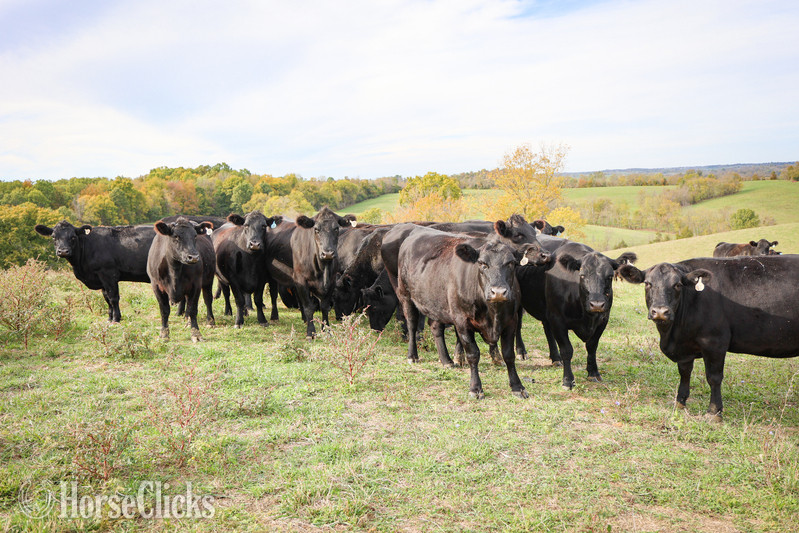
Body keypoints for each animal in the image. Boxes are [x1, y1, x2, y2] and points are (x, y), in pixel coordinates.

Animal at [264, 206, 356, 338]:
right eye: (316, 229)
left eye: (336, 228)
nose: (328, 253)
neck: (322, 270)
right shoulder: (301, 280)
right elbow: (308, 307)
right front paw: (311, 332)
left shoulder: (332, 281)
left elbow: (324, 307)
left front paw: (326, 330)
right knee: (273, 295)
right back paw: (274, 316)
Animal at [395, 225, 530, 399]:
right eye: (482, 263)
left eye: (511, 263)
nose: (498, 292)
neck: (493, 314)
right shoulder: (462, 321)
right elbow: (473, 354)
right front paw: (475, 388)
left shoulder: (511, 321)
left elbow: (509, 355)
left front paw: (517, 386)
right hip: (405, 294)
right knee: (411, 324)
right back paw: (412, 356)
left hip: (436, 302)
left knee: (435, 327)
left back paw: (446, 360)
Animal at [516, 240, 637, 389]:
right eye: (582, 275)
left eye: (609, 276)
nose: (597, 304)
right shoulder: (558, 320)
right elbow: (567, 350)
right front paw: (568, 380)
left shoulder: (603, 319)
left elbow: (592, 346)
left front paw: (593, 373)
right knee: (517, 326)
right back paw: (521, 352)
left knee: (547, 329)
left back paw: (555, 358)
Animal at [617, 255, 799, 421]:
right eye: (648, 284)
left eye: (677, 285)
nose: (661, 312)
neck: (673, 335)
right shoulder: (685, 348)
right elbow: (684, 372)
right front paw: (680, 402)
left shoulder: (714, 342)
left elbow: (714, 378)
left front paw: (714, 412)